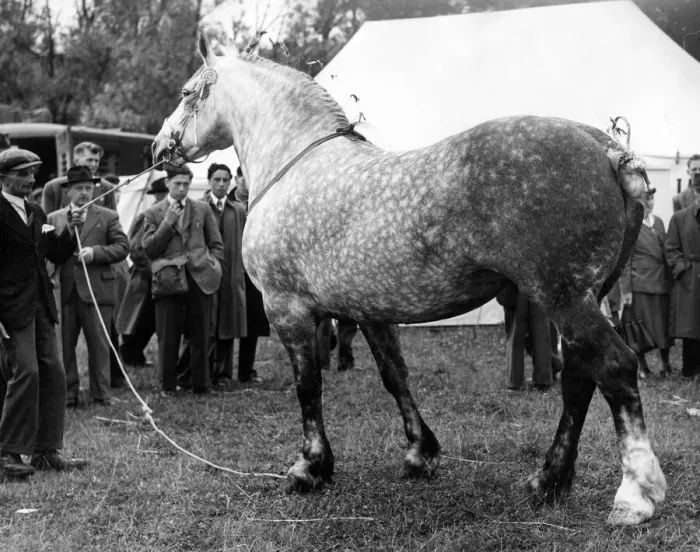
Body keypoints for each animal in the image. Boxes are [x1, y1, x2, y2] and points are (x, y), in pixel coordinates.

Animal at [151, 35, 666, 526]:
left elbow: (308, 386)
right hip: (586, 297)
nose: (159, 148)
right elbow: (394, 375)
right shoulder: (370, 311)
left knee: (615, 368)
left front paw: (310, 467)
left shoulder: (287, 309)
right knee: (579, 377)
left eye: (186, 93)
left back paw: (634, 497)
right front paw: (421, 453)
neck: (295, 165)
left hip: (566, 298)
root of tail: (607, 149)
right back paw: (548, 480)